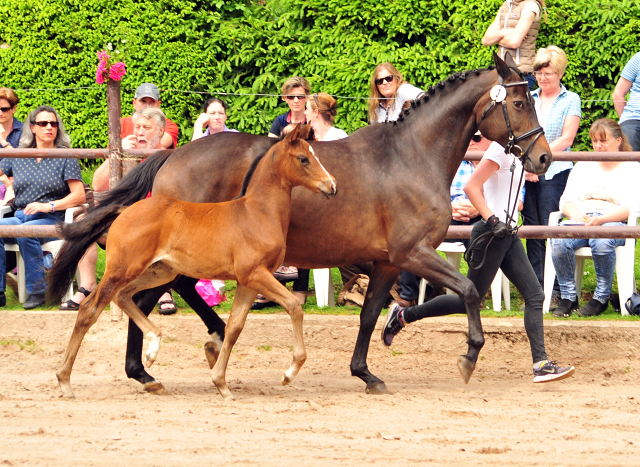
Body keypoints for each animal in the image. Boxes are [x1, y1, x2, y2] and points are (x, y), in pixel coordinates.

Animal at [57, 125, 338, 402]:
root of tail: (123, 211)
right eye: (303, 159)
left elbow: (234, 327)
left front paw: (221, 383)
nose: (332, 186)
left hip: (160, 272)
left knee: (124, 297)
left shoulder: (249, 281)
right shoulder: (256, 274)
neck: (257, 213)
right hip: (123, 269)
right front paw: (289, 372)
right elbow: (294, 306)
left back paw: (153, 349)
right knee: (90, 309)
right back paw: (65, 380)